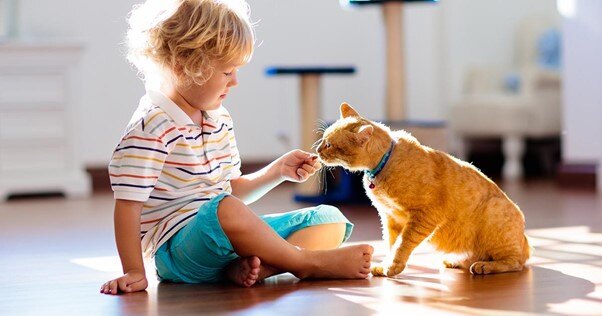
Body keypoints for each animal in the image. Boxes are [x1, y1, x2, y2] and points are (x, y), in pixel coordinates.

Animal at [316, 102, 528, 276]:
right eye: (323, 139)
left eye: (329, 144)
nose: (317, 151)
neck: (382, 166)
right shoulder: (390, 218)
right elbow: (391, 244)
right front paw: (384, 265)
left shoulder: (423, 215)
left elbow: (402, 244)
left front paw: (392, 267)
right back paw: (456, 260)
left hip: (496, 217)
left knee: (515, 262)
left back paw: (484, 266)